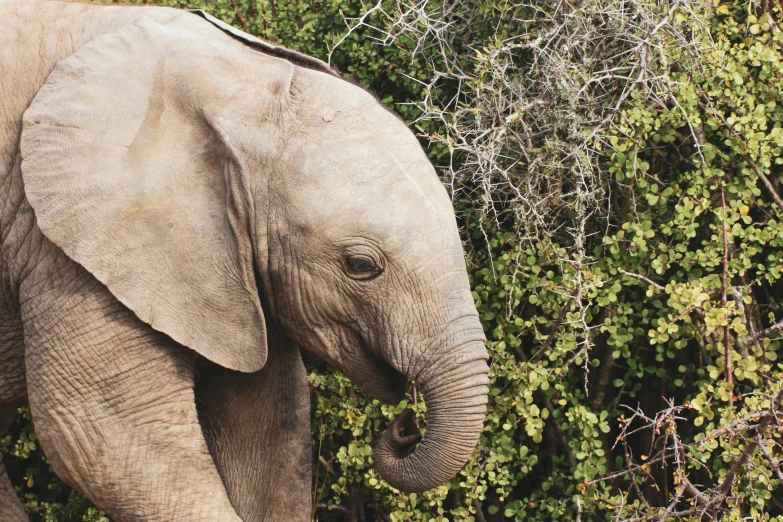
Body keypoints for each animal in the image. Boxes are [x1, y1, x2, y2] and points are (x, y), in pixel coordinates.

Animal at [0, 2, 490, 516]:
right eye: (360, 266)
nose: (405, 427)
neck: (240, 84)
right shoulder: (63, 243)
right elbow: (104, 439)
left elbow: (269, 430)